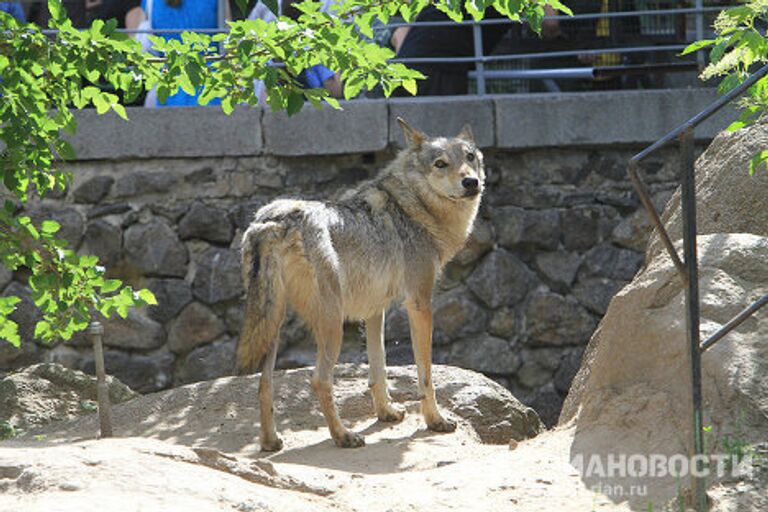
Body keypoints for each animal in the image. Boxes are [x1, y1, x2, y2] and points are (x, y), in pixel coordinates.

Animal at [236, 118, 486, 450]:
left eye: (470, 157)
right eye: (441, 164)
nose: (471, 182)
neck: (412, 208)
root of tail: (274, 220)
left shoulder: (374, 310)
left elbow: (378, 369)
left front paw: (386, 413)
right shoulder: (419, 303)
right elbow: (425, 375)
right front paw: (435, 421)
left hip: (272, 325)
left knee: (263, 383)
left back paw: (270, 442)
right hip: (331, 324)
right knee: (319, 380)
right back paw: (343, 436)